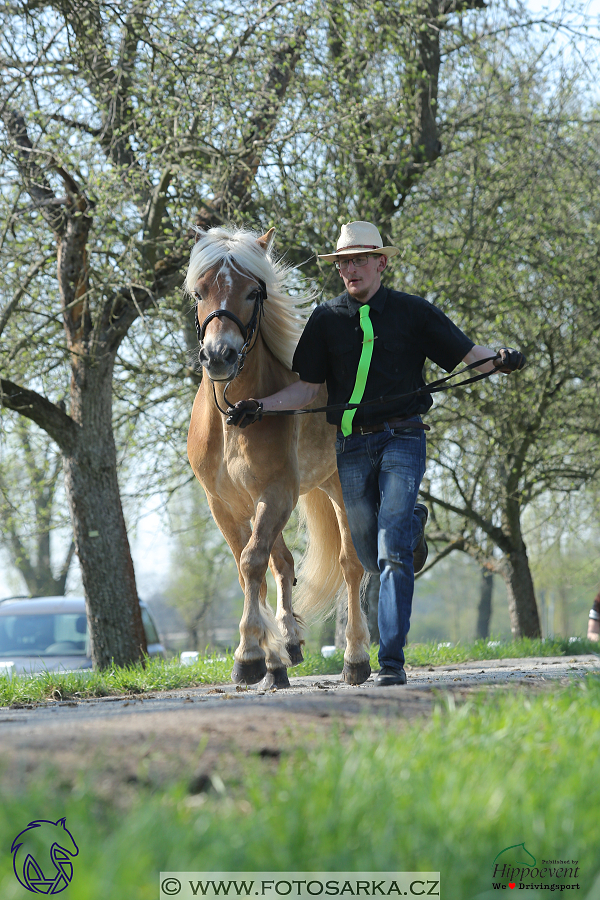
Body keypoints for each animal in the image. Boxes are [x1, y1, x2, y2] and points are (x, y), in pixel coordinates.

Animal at [185, 225, 370, 688]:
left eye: (253, 292)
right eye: (199, 292)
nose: (220, 356)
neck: (235, 417)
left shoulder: (277, 493)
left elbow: (253, 562)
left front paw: (249, 654)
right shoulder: (226, 505)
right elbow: (252, 568)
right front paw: (271, 655)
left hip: (340, 489)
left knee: (351, 565)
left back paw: (355, 658)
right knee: (283, 563)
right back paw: (287, 647)